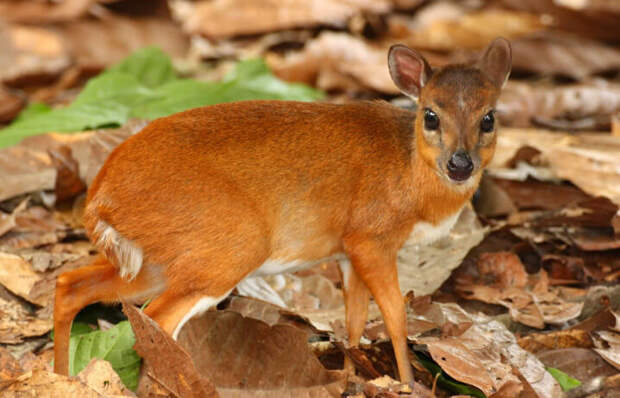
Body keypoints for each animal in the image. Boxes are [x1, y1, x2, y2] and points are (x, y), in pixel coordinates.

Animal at [53, 38, 512, 382]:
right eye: (430, 115)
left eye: (489, 118)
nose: (460, 164)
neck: (409, 172)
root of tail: (100, 195)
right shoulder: (370, 236)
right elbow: (396, 315)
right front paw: (405, 383)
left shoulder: (346, 252)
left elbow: (354, 320)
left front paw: (353, 375)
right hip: (228, 245)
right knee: (156, 320)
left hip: (160, 258)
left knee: (71, 284)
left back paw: (61, 375)